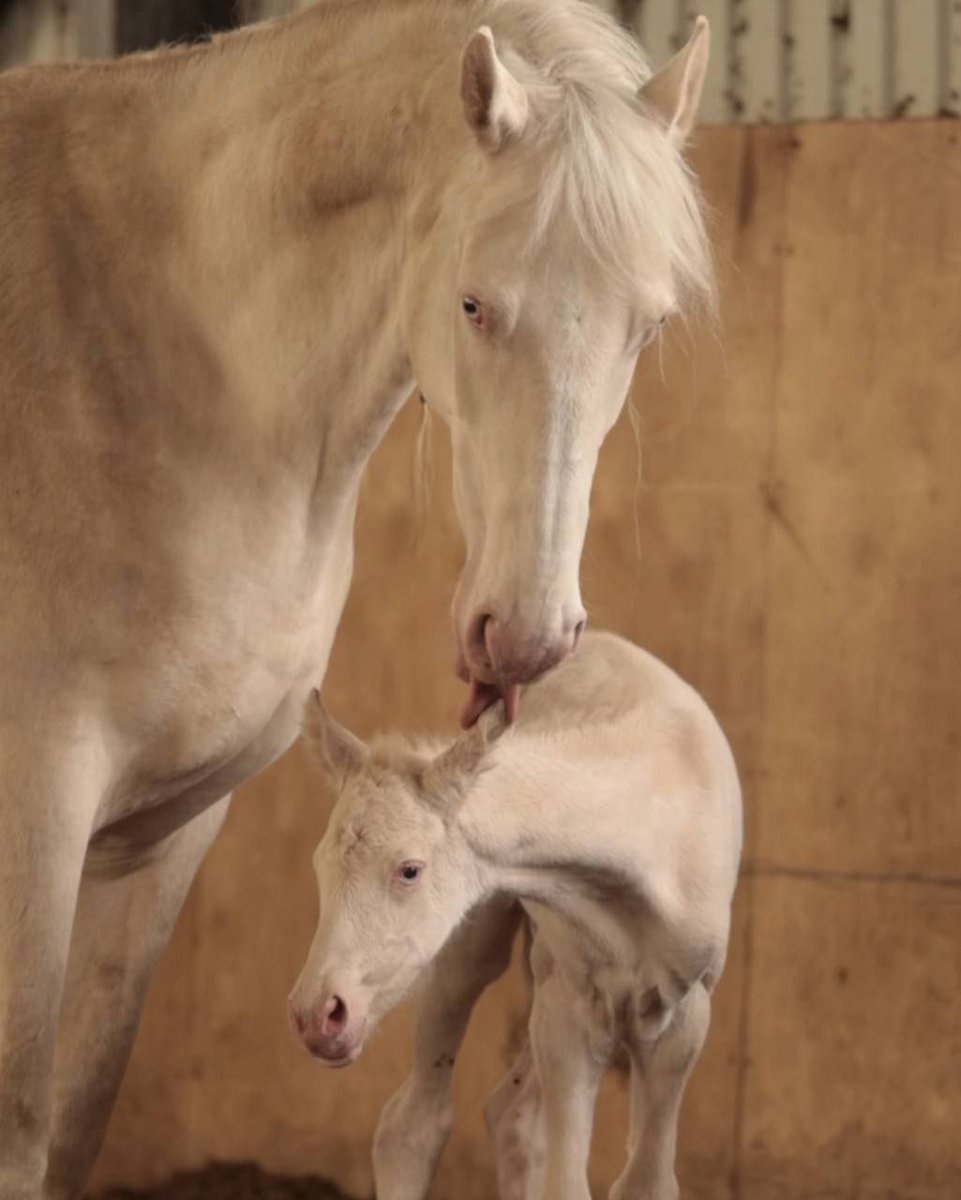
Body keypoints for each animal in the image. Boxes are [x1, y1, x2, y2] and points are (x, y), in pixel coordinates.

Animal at [291, 631, 742, 1200]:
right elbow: (567, 1185)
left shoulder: (685, 1008)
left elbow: (647, 1184)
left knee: (510, 1117)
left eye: (409, 869)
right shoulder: (570, 1002)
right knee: (415, 1121)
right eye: (318, 865)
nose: (317, 1016)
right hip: (472, 946)